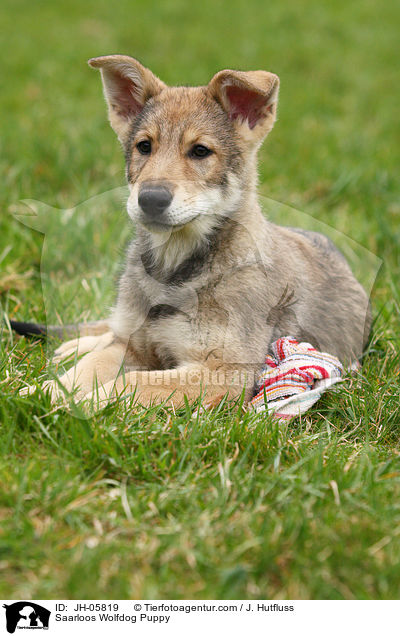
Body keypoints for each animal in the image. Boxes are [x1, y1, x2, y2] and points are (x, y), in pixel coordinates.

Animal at [16, 57, 372, 410]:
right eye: (144, 147)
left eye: (200, 151)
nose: (150, 199)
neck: (173, 271)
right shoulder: (132, 346)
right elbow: (85, 370)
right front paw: (39, 395)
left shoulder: (222, 372)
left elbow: (133, 382)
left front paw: (80, 406)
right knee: (109, 329)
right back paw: (75, 345)